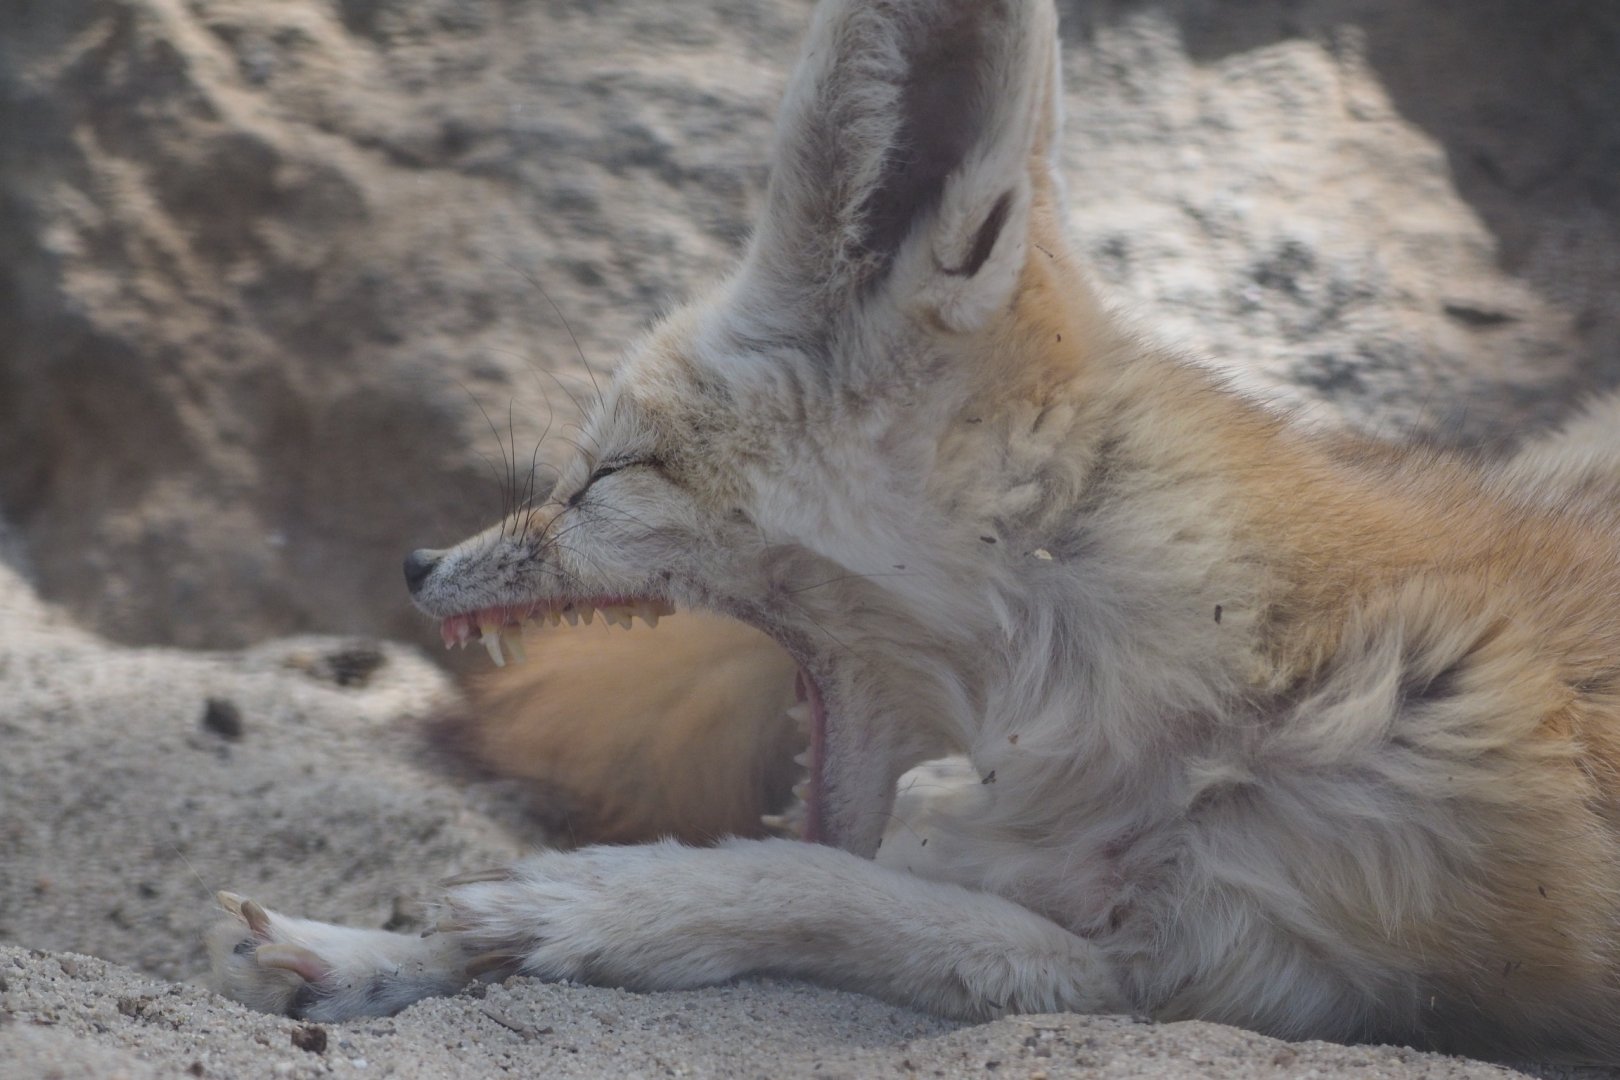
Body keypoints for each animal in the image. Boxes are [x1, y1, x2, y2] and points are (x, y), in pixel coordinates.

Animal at [209, 0, 1620, 1061]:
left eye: (607, 473)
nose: (413, 564)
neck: (1225, 656)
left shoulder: (1258, 966)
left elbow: (850, 894)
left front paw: (596, 902)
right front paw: (369, 954)